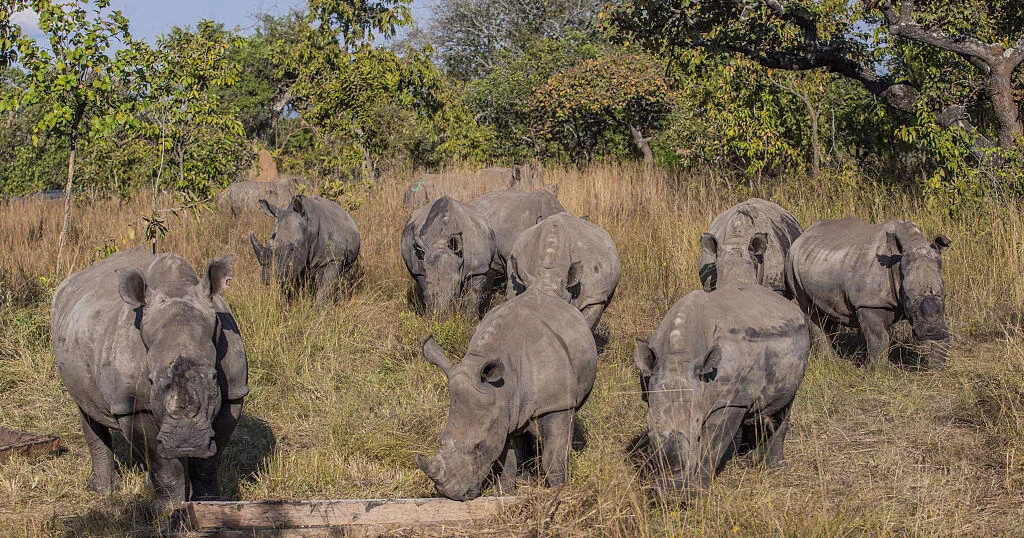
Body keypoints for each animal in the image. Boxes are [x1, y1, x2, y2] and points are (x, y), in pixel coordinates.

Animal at [51, 246, 247, 507]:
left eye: (215, 377)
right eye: (152, 381)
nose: (185, 443)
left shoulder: (233, 393)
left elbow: (209, 462)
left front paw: (209, 503)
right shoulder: (131, 405)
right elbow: (164, 466)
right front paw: (170, 510)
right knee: (86, 408)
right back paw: (102, 491)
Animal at [415, 242, 598, 500]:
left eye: (478, 446)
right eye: (440, 439)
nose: (450, 494)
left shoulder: (557, 402)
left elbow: (553, 453)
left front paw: (558, 490)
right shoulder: (502, 406)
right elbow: (506, 455)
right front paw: (504, 490)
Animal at [635, 284, 809, 496]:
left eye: (697, 435)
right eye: (649, 432)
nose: (672, 493)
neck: (678, 358)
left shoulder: (728, 402)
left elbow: (713, 446)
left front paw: (698, 493)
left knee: (783, 406)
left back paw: (774, 468)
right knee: (754, 409)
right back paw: (746, 462)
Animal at [785, 217, 951, 368]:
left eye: (944, 296)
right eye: (909, 299)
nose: (931, 333)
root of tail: (803, 235)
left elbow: (944, 335)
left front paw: (937, 369)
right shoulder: (869, 303)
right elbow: (879, 338)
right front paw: (879, 371)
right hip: (791, 265)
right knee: (810, 311)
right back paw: (832, 362)